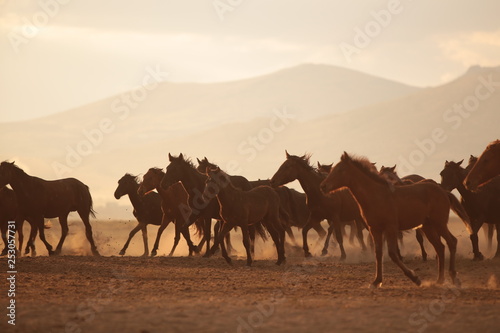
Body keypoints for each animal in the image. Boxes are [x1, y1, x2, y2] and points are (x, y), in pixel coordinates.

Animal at [320, 152, 472, 286]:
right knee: (440, 247)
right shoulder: (375, 229)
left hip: (439, 223)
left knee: (452, 242)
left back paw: (454, 278)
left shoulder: (390, 228)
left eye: (341, 170)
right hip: (427, 227)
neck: (376, 195)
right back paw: (439, 280)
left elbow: (393, 254)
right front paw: (376, 281)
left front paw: (415, 278)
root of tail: (444, 192)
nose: (323, 186)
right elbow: (378, 253)